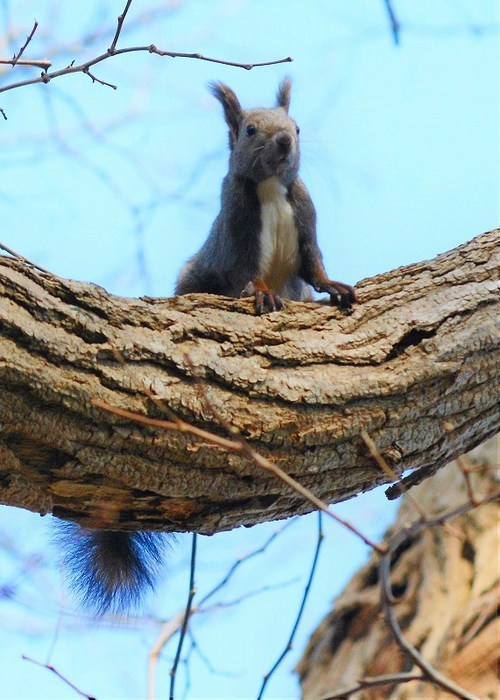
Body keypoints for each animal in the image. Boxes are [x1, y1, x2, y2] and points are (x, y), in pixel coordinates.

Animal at [57, 78, 356, 612]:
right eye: (250, 129)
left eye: (297, 127)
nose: (286, 143)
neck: (270, 189)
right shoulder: (236, 233)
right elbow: (245, 277)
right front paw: (262, 295)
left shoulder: (304, 216)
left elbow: (315, 266)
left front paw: (335, 287)